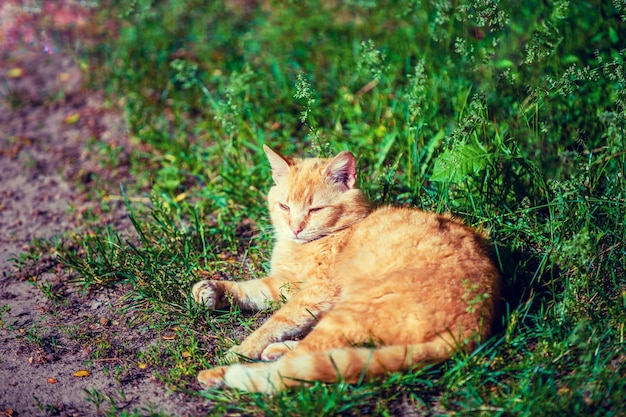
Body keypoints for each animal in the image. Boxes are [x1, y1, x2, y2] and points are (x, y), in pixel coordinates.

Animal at [189, 145, 498, 392]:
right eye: (284, 206)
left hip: (348, 311)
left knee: (294, 366)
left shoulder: (316, 293)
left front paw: (244, 349)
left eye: (315, 209)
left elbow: (276, 322)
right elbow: (250, 290)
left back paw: (222, 373)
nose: (295, 228)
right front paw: (211, 291)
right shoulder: (283, 284)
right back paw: (275, 350)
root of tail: (474, 325)